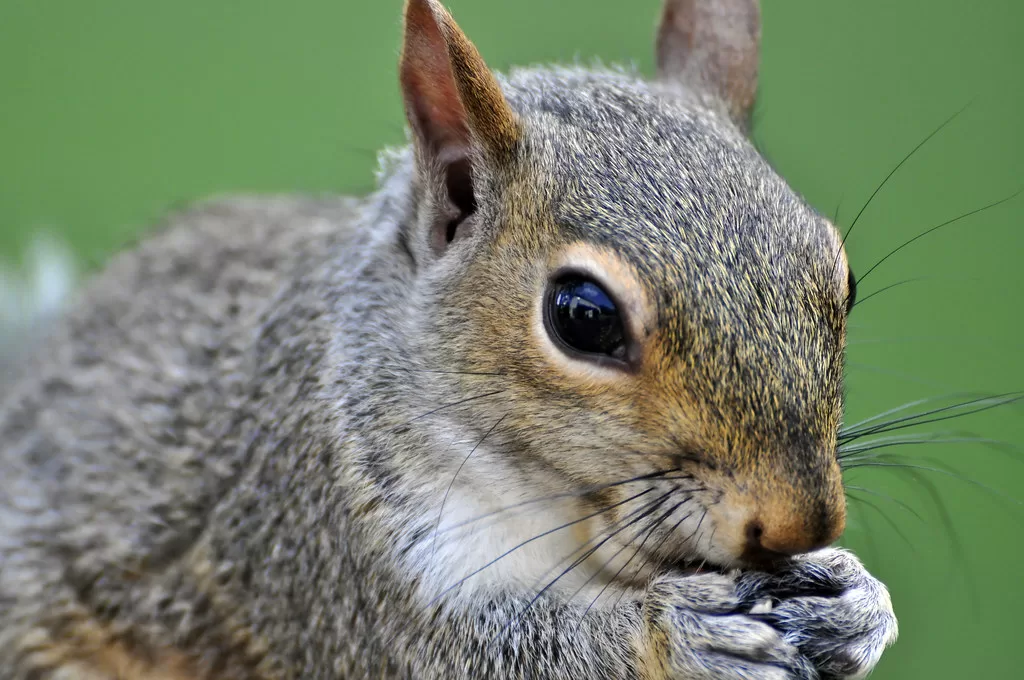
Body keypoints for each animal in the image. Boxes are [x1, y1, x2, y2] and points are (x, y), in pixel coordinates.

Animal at [0, 0, 897, 675]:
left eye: (841, 276)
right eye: (582, 316)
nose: (800, 523)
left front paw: (858, 603)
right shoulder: (326, 539)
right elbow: (470, 654)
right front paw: (670, 630)